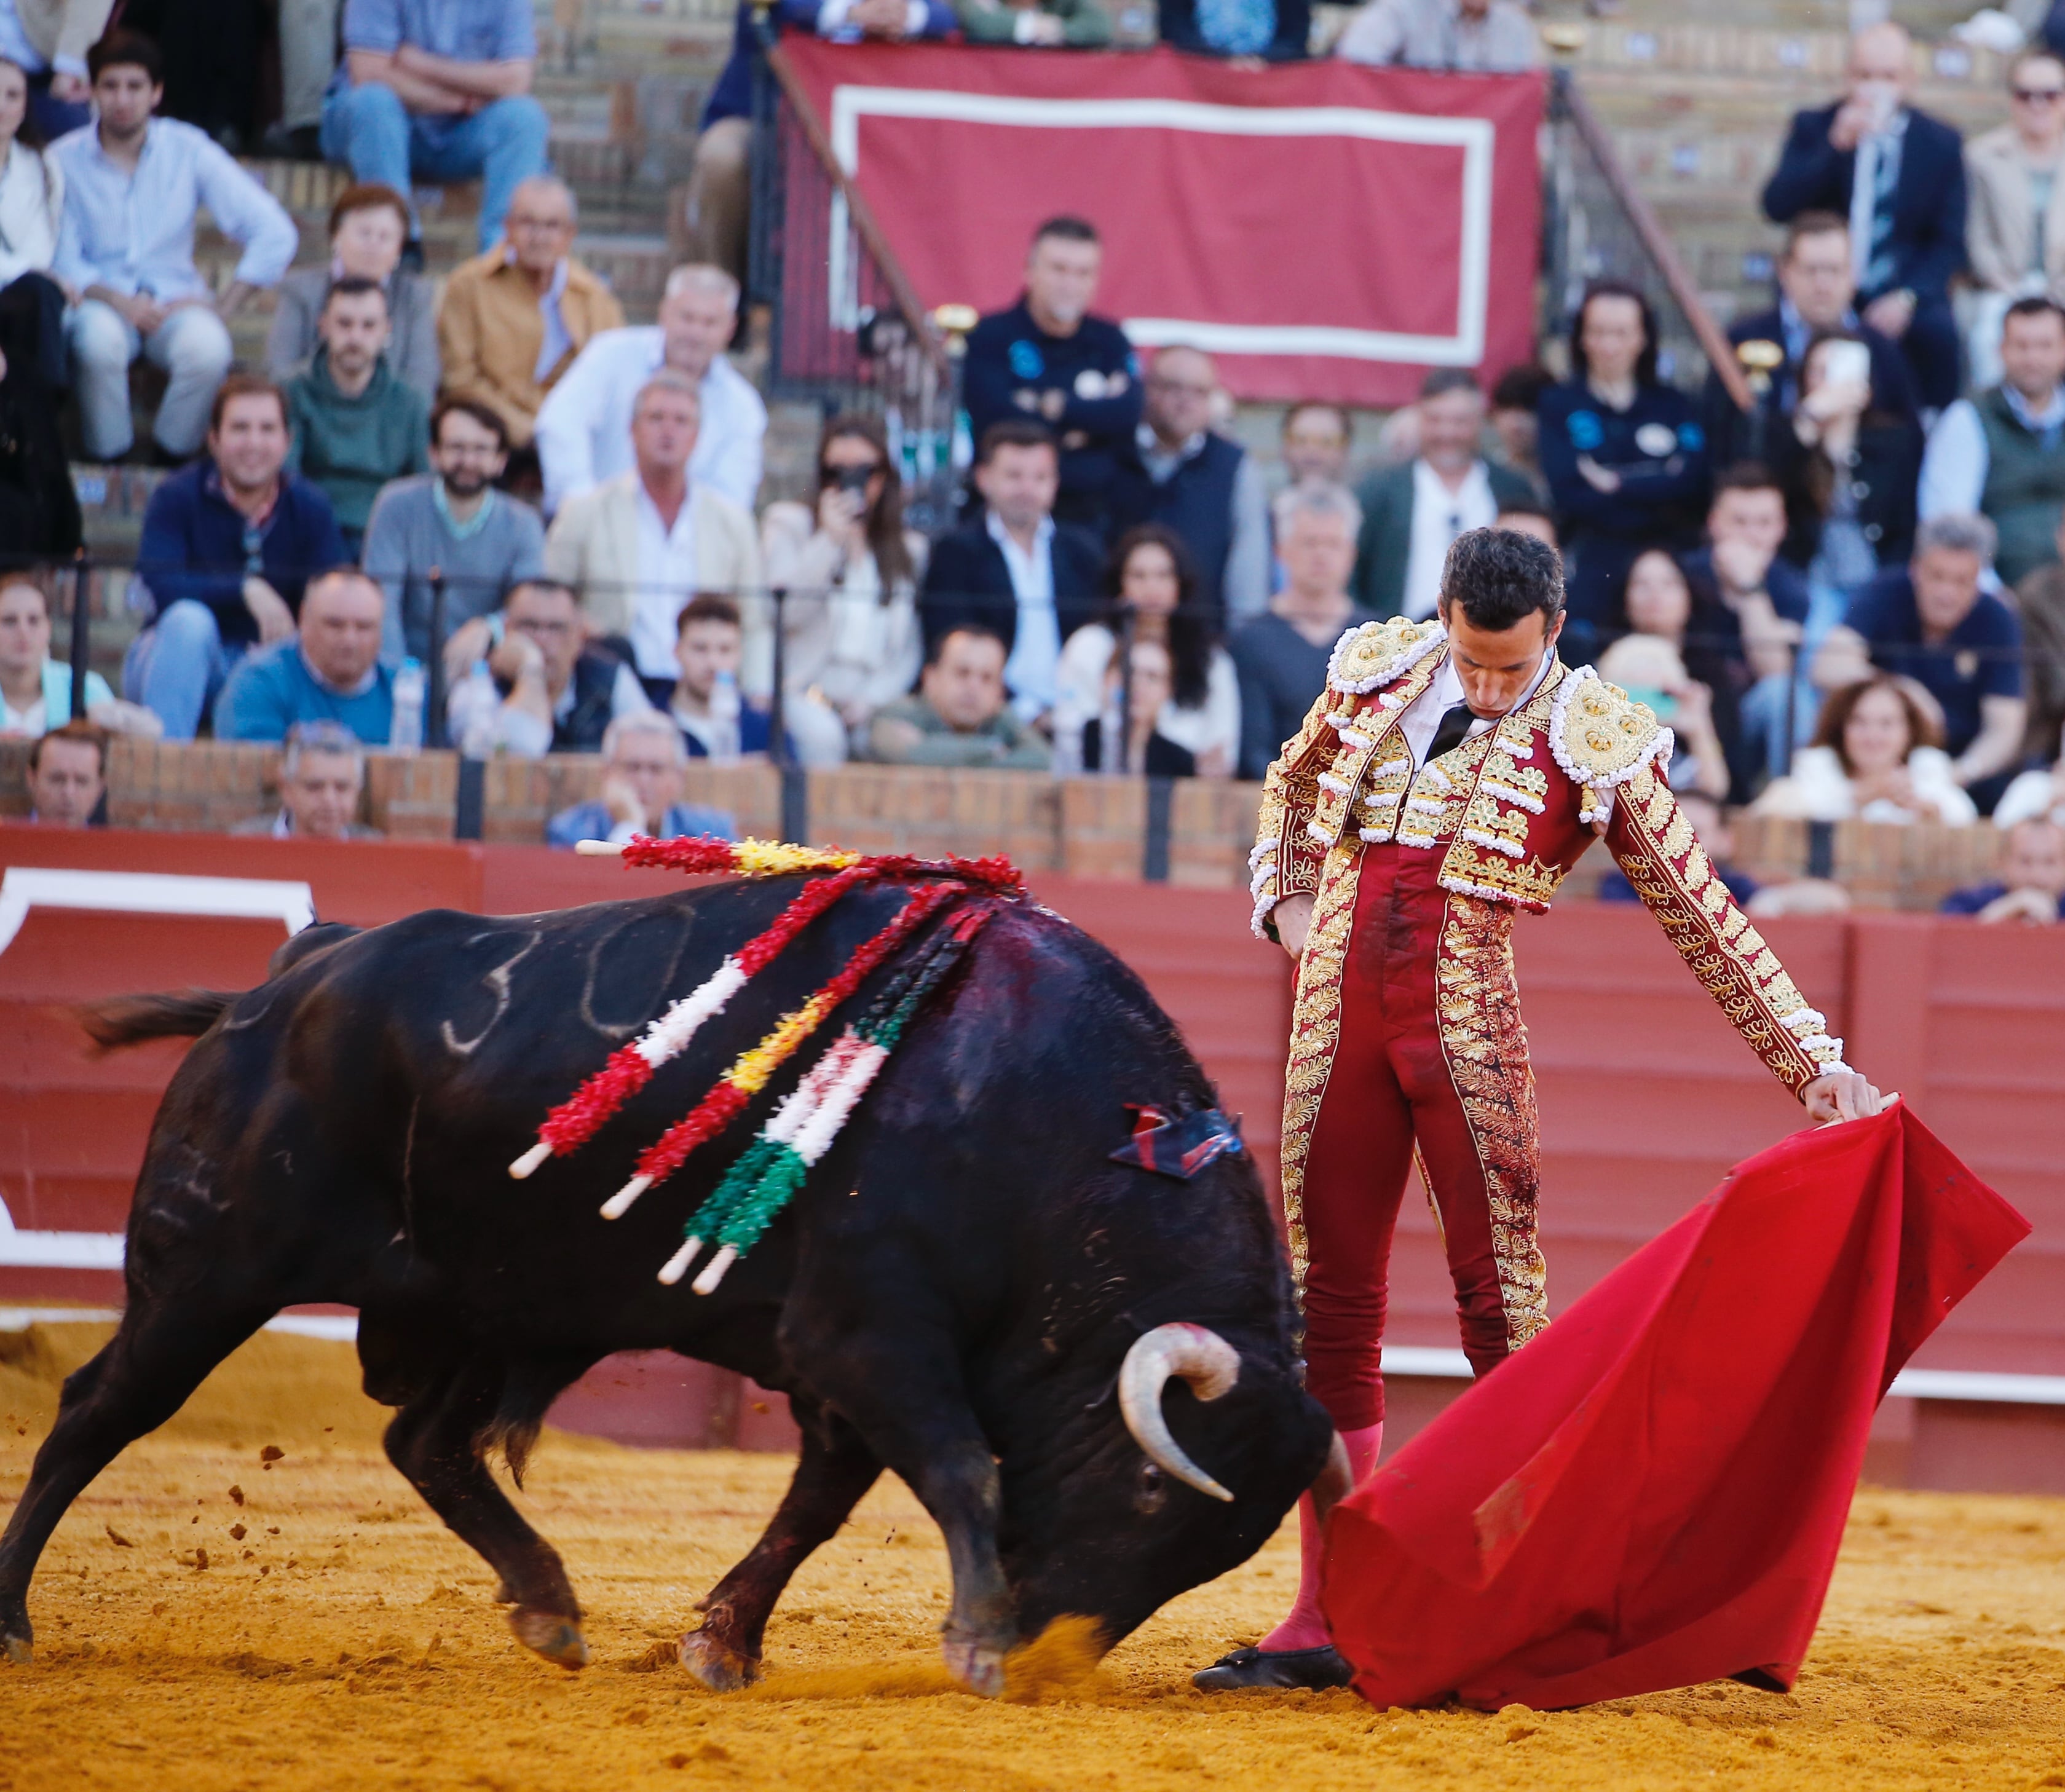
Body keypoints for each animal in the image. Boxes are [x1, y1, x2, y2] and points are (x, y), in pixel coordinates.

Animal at [0, 875, 1338, 1684]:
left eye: (1218, 1549)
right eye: (1155, 1491)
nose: (1041, 1657)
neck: (1053, 1129)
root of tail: (289, 980)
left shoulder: (831, 1365)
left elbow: (818, 1503)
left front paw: (720, 1644)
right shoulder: (870, 1334)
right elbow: (960, 1465)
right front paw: (966, 1640)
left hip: (494, 1298)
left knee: (425, 1443)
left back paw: (547, 1602)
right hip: (208, 1272)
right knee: (96, 1410)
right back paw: (13, 1618)